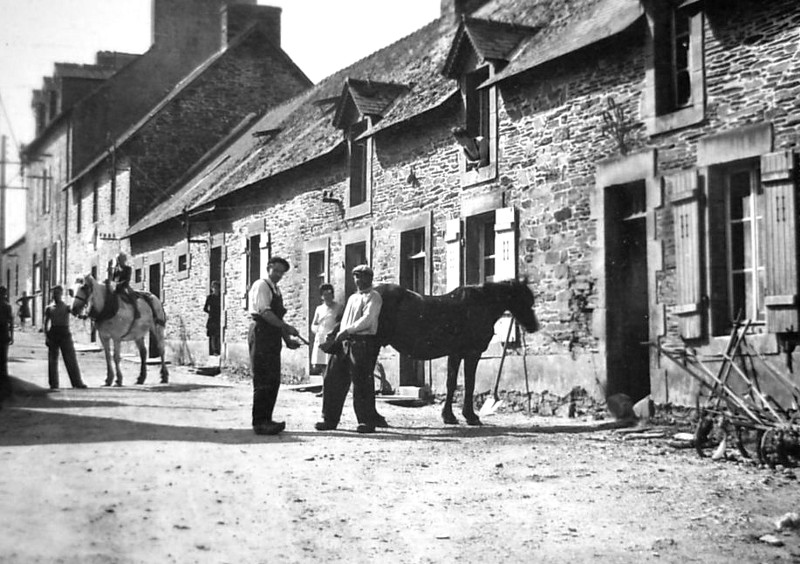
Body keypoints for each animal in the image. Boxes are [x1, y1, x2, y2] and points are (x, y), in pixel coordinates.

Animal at [376, 280, 536, 426]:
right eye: (523, 299)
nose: (533, 326)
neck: (480, 305)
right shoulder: (469, 354)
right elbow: (464, 384)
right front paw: (465, 416)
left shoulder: (457, 355)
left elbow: (458, 384)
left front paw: (453, 416)